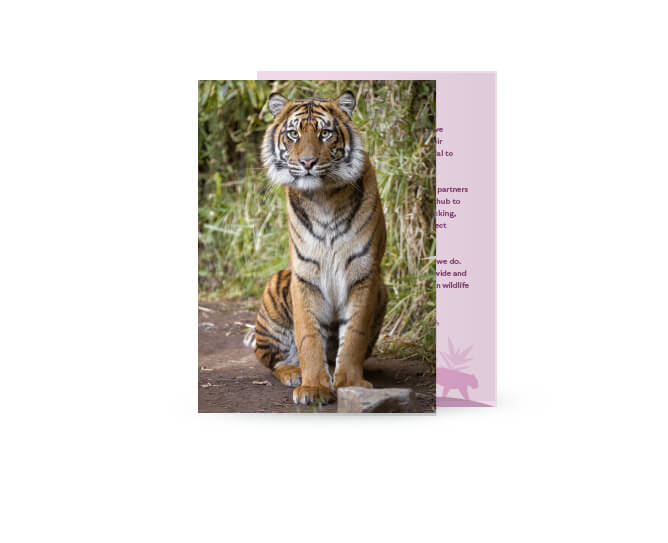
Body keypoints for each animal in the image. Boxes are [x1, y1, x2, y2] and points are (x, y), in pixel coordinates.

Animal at [244, 90, 388, 405]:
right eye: (293, 134)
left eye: (325, 133)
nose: (308, 162)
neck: (323, 198)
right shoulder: (305, 274)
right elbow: (308, 336)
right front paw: (313, 387)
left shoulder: (364, 273)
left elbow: (354, 334)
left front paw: (349, 383)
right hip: (276, 288)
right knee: (270, 359)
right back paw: (294, 372)